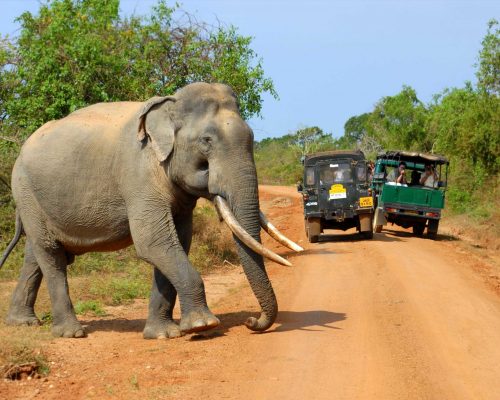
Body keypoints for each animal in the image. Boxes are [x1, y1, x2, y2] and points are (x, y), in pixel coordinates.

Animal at [1, 83, 302, 340]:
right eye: (206, 141)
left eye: (252, 138)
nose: (252, 322)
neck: (169, 106)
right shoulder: (138, 175)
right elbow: (153, 242)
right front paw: (203, 325)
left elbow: (177, 242)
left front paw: (163, 334)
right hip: (25, 190)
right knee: (51, 254)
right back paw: (71, 333)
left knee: (36, 253)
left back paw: (22, 322)